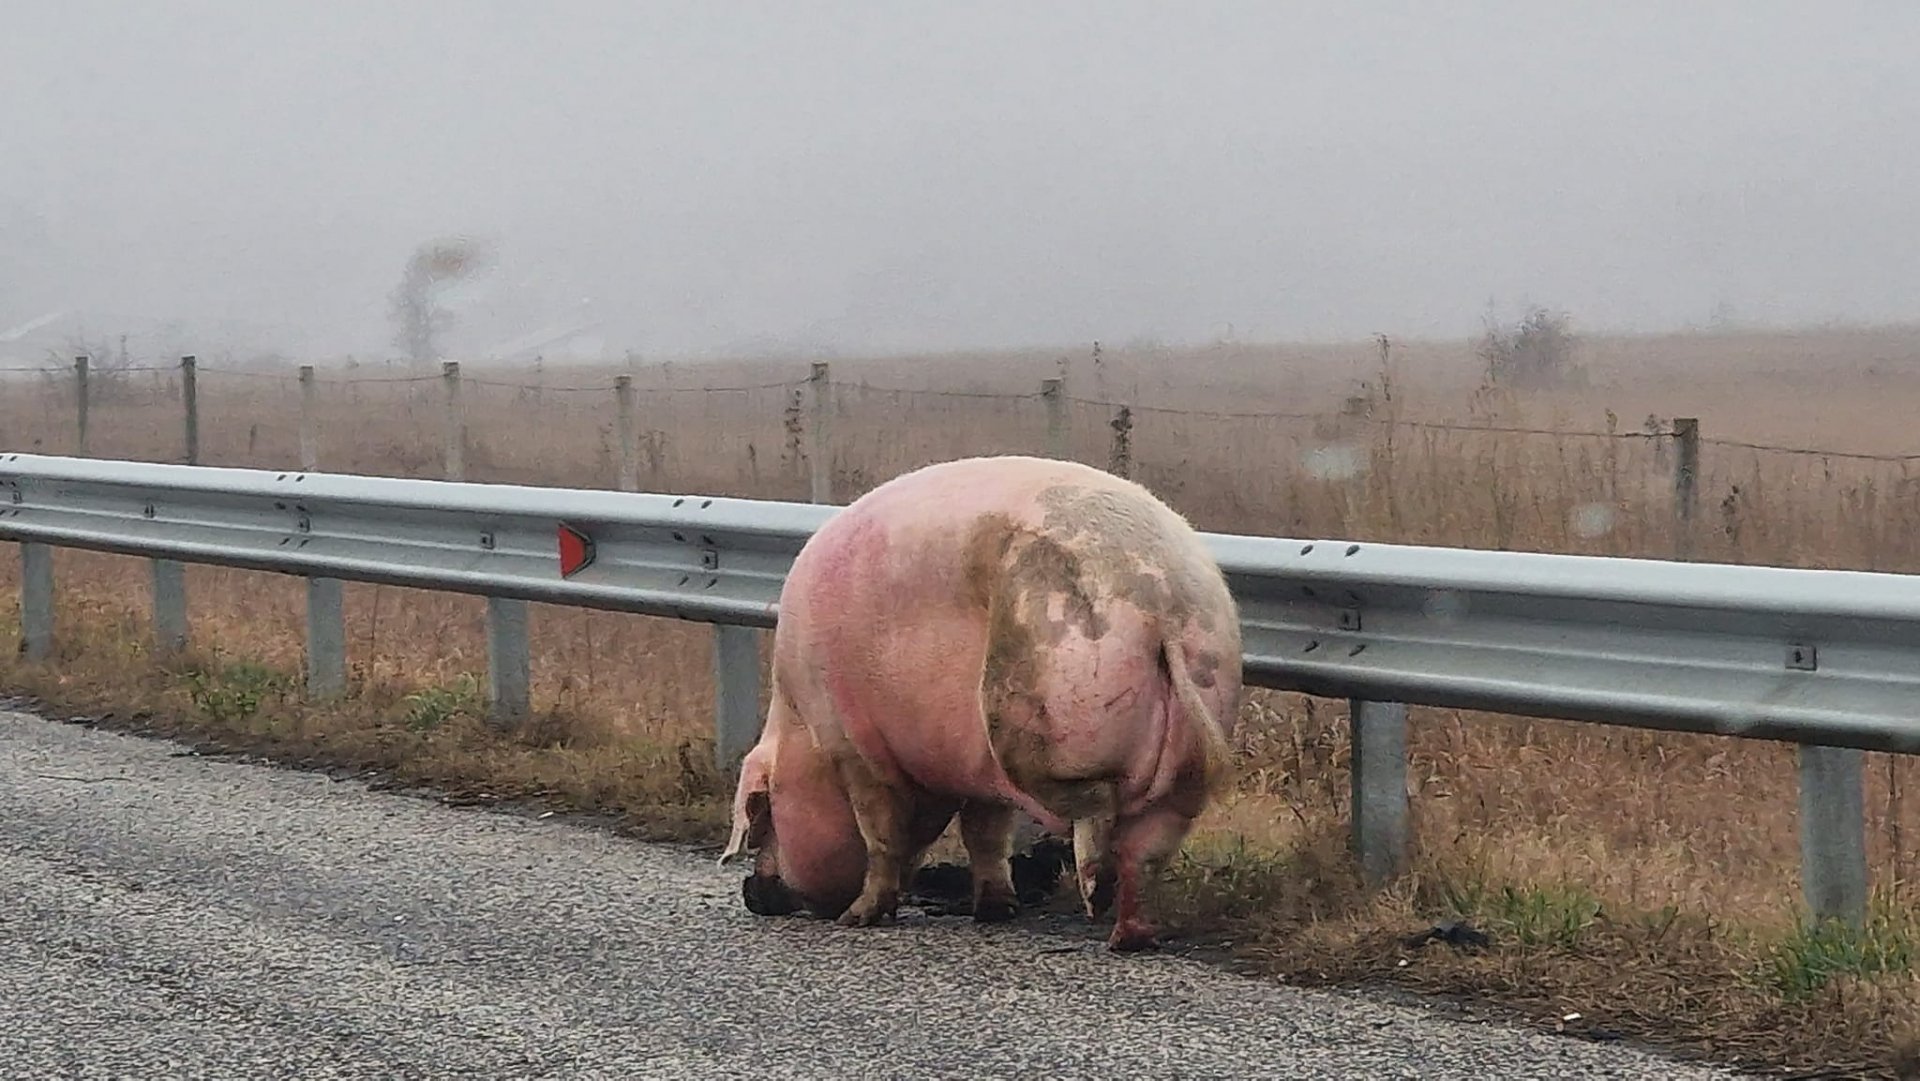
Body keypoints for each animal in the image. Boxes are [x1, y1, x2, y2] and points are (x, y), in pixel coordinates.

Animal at [721, 453, 1244, 952]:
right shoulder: (974, 768)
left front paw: (860, 917)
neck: (800, 730)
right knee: (1148, 850)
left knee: (1094, 804)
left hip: (1042, 707)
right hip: (1190, 746)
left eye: (766, 818)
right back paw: (1125, 936)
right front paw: (996, 910)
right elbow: (985, 834)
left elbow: (881, 836)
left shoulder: (854, 747)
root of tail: (1161, 600)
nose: (751, 893)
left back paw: (1095, 891)